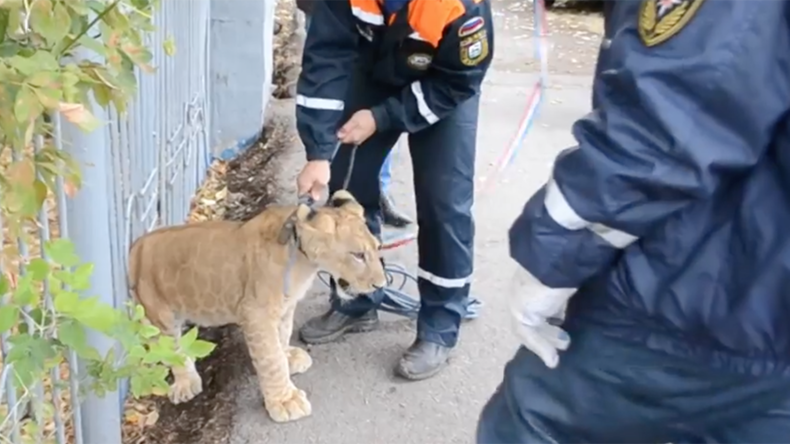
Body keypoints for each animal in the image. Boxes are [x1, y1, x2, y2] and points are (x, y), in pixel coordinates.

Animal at [127, 190, 386, 423]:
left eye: (377, 248)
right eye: (358, 255)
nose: (381, 284)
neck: (303, 261)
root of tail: (136, 245)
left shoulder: (285, 307)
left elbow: (283, 336)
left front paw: (288, 357)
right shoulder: (256, 313)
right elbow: (271, 358)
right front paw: (285, 401)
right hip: (159, 314)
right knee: (172, 350)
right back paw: (185, 384)